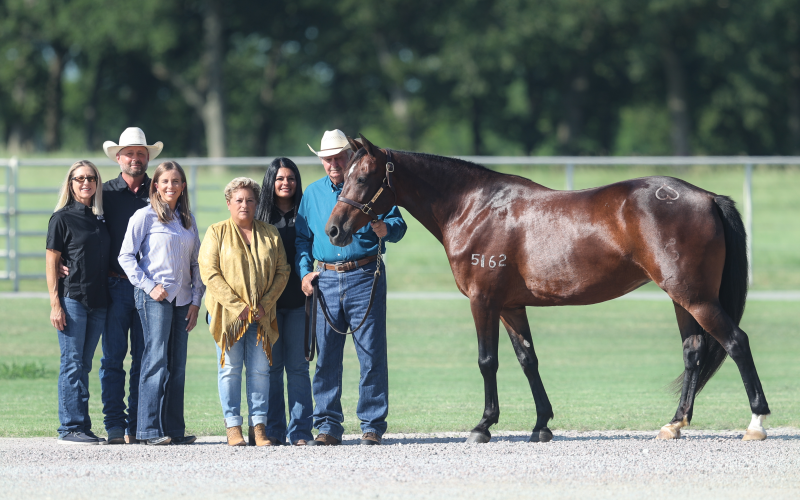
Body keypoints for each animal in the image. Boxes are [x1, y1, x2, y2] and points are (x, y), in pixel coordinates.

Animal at [325, 134, 771, 443]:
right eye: (343, 178)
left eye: (362, 177)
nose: (333, 229)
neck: (474, 208)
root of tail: (708, 197)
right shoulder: (510, 307)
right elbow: (528, 360)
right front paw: (541, 425)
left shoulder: (483, 302)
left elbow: (487, 361)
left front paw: (483, 425)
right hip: (683, 297)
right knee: (694, 351)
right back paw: (674, 424)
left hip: (695, 297)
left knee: (736, 341)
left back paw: (756, 423)